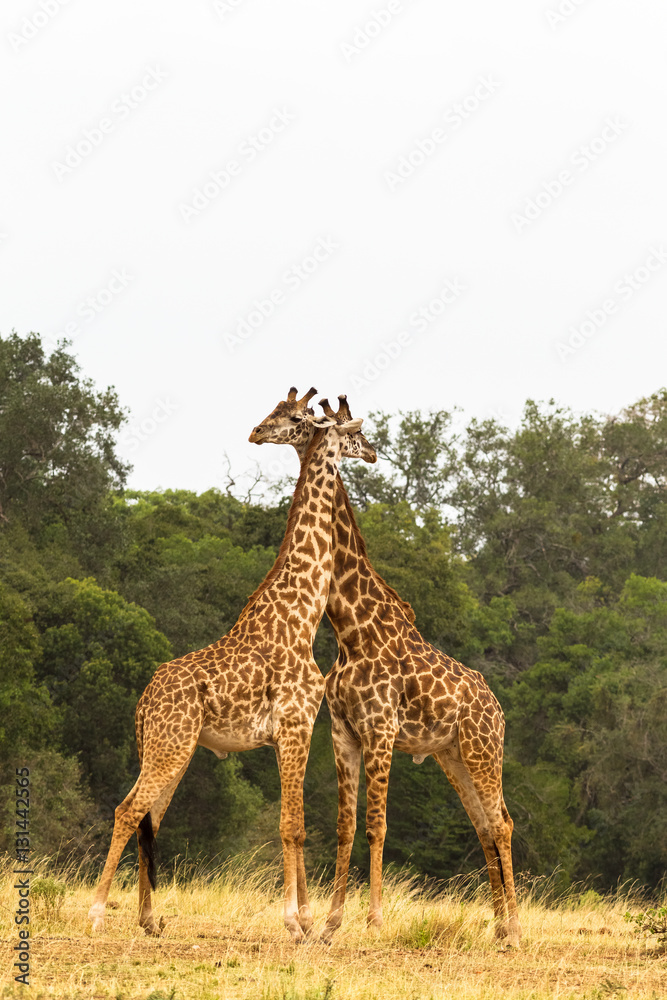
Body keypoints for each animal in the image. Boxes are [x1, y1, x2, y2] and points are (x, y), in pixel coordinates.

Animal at [88, 390, 368, 942]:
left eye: (289, 414)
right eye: (350, 431)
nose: (255, 432)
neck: (302, 616)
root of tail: (143, 702)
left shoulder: (291, 732)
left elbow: (295, 822)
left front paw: (304, 919)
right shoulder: (295, 725)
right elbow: (292, 824)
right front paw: (296, 922)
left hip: (170, 748)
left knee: (149, 816)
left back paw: (149, 919)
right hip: (171, 746)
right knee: (128, 808)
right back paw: (96, 914)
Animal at [251, 392, 521, 948]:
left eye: (295, 416)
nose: (256, 432)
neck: (350, 628)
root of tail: (497, 710)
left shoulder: (380, 729)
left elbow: (377, 825)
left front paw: (374, 920)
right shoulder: (343, 731)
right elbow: (345, 825)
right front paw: (331, 922)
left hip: (483, 751)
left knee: (503, 823)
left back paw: (516, 930)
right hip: (453, 757)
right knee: (486, 825)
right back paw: (499, 927)